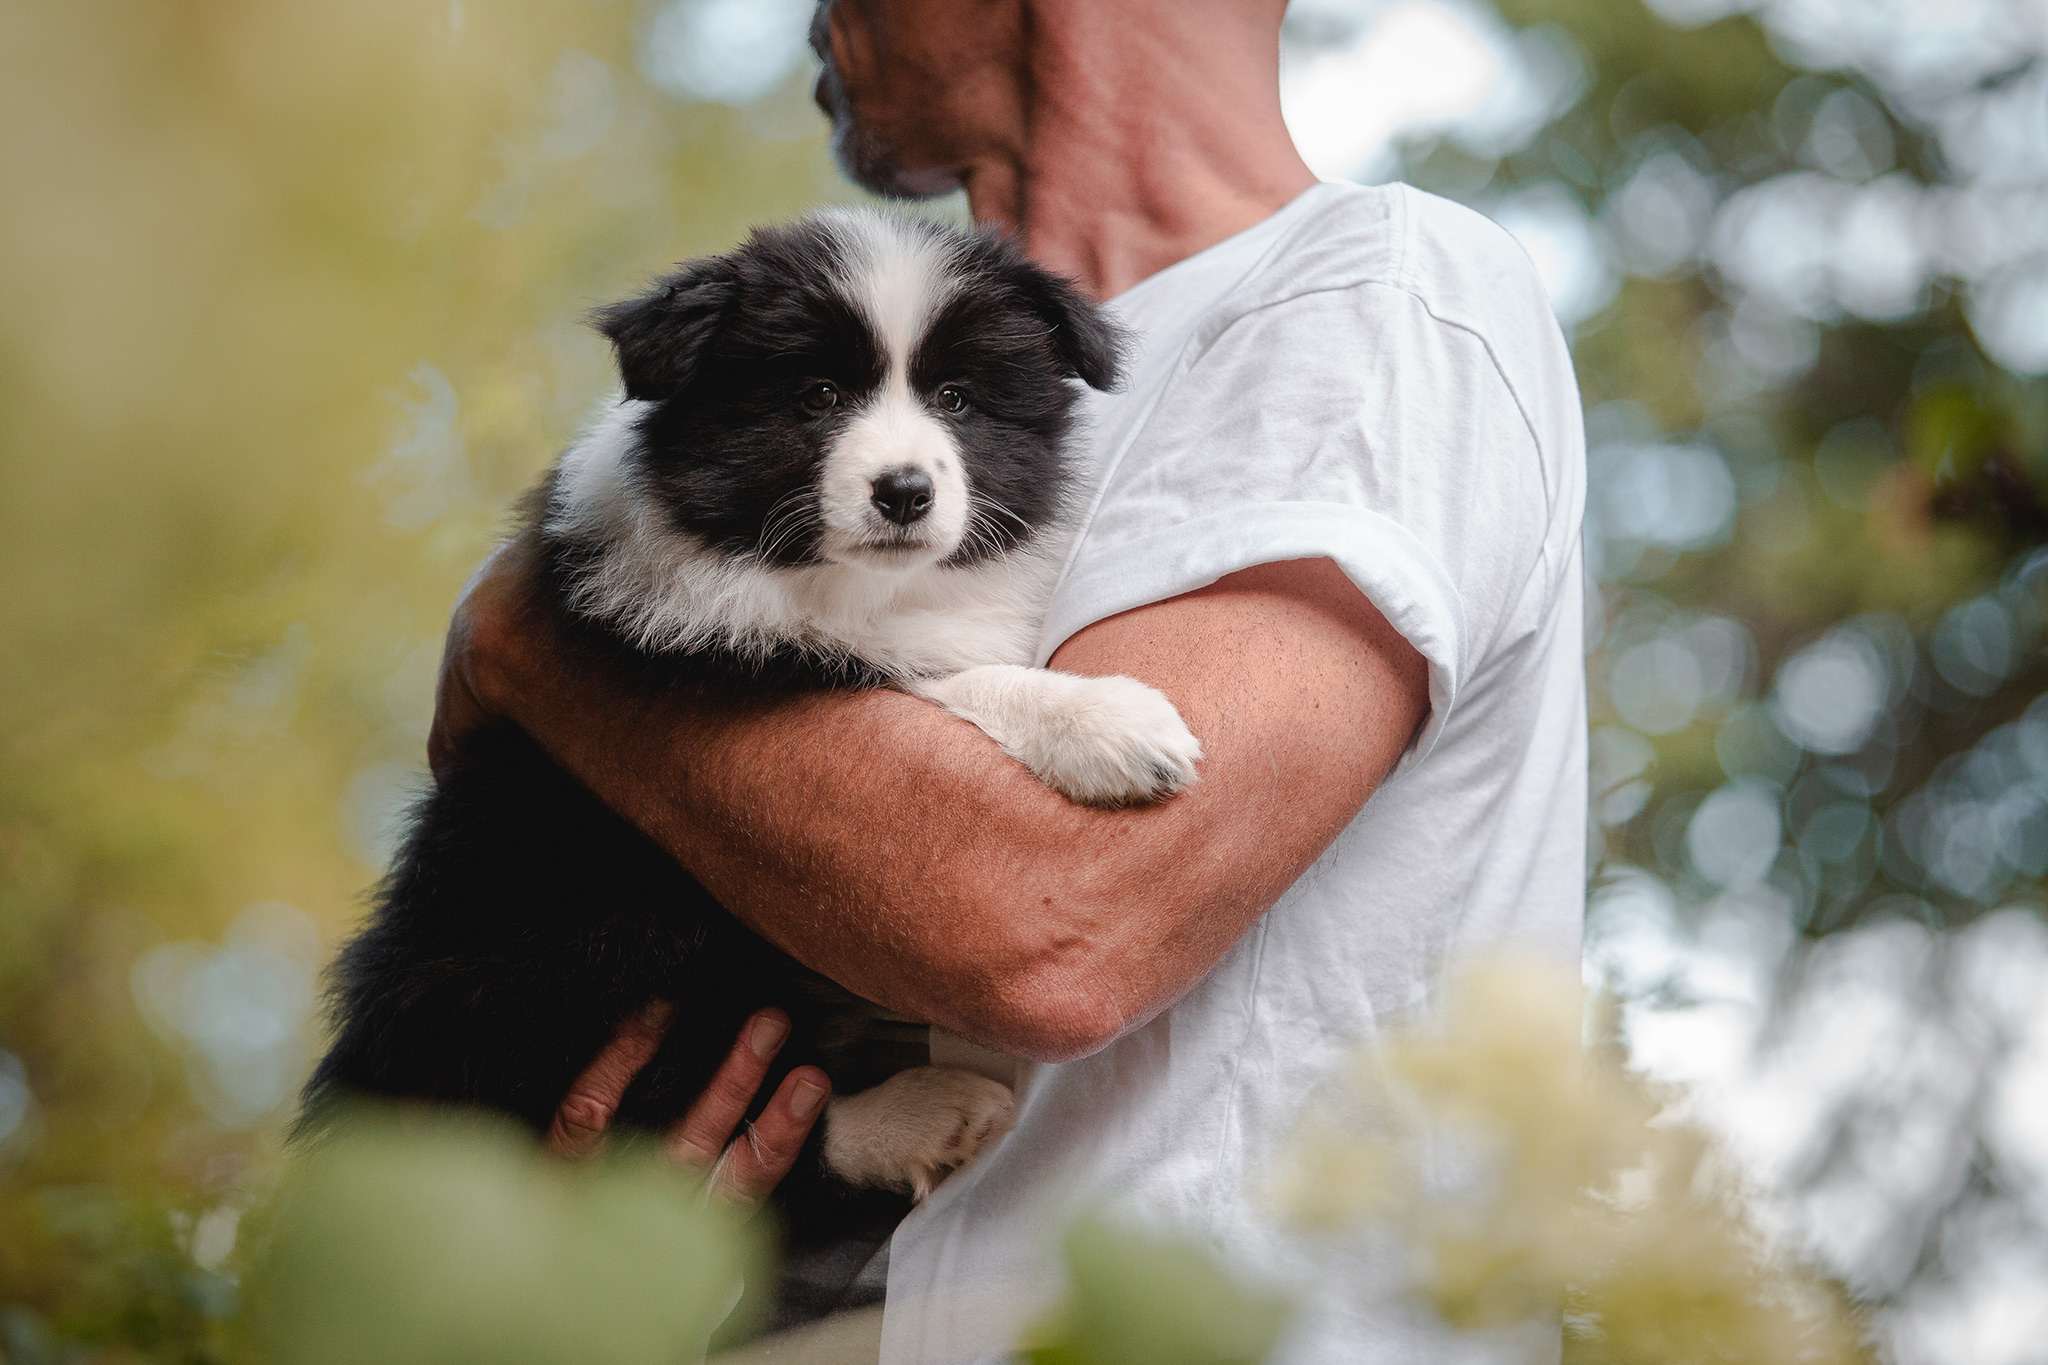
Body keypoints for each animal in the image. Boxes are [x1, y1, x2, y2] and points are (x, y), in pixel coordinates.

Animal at [303, 208, 1196, 1252]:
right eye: (816, 396)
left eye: (958, 398)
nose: (904, 492)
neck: (852, 583)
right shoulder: (734, 651)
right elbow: (940, 675)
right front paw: (1114, 722)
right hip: (594, 939)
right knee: (686, 1106)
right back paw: (918, 1115)